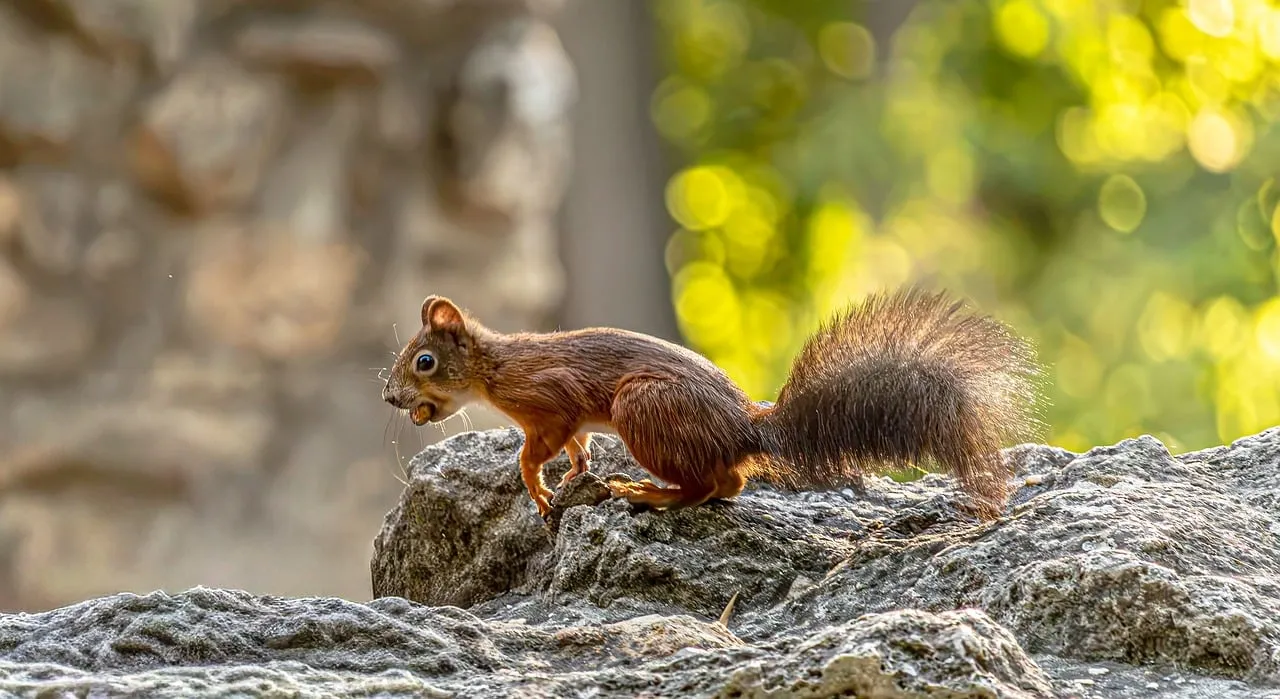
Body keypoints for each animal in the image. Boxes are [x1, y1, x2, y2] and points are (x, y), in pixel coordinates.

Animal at [382, 287, 1043, 521]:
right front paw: (576, 472)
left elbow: (535, 447)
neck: (494, 370)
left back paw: (652, 494)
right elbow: (577, 444)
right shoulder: (569, 420)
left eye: (424, 361)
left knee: (713, 485)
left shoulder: (550, 396)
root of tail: (745, 429)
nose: (390, 396)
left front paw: (538, 487)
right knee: (729, 484)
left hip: (642, 408)